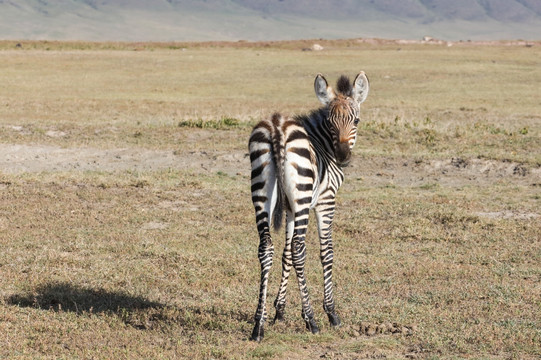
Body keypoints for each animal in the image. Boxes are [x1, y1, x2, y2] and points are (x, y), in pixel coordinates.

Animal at [248, 71, 368, 342]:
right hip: (303, 195)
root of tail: (277, 126)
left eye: (355, 120)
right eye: (330, 122)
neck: (324, 144)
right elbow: (326, 252)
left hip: (263, 192)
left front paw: (278, 310)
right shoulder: (325, 201)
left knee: (266, 248)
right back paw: (311, 320)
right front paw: (331, 312)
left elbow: (285, 254)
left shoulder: (290, 207)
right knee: (299, 249)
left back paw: (258, 325)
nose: (342, 156)